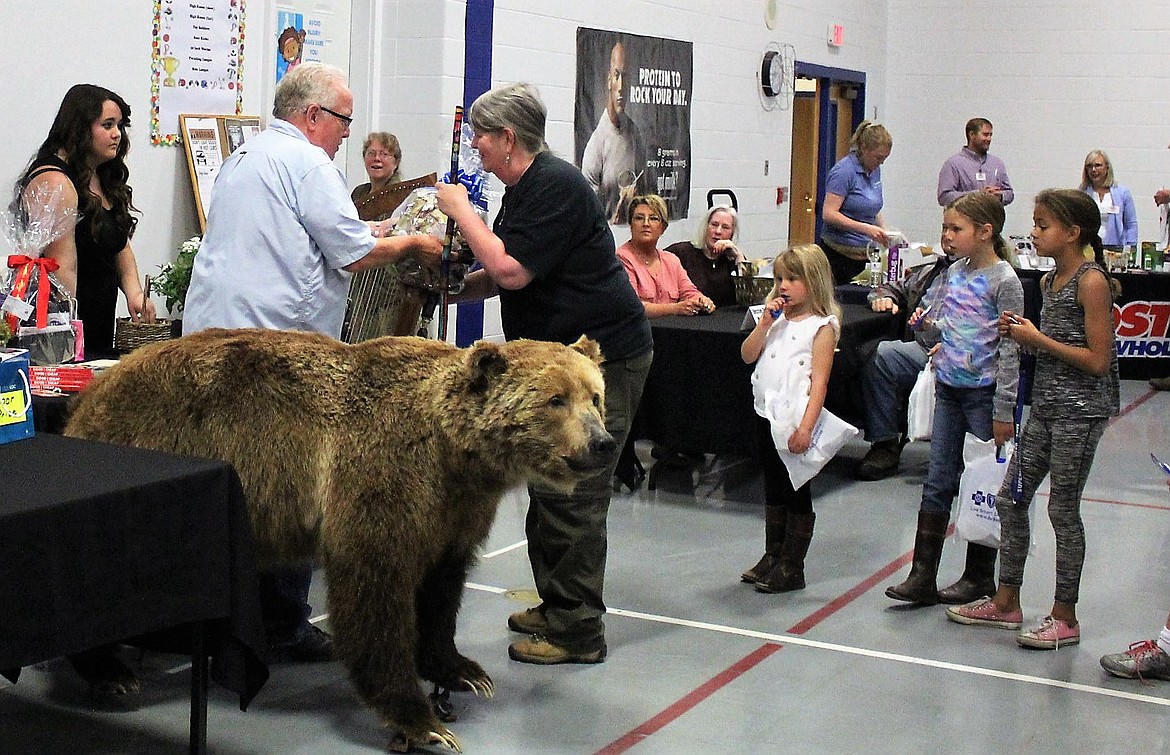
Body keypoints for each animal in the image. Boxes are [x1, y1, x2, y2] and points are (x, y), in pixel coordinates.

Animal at [65, 327, 617, 749]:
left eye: (594, 396)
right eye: (555, 400)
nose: (603, 443)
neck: (455, 452)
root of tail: (90, 399)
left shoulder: (454, 513)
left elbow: (442, 589)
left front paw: (462, 670)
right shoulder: (383, 480)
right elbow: (376, 596)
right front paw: (421, 720)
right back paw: (112, 673)